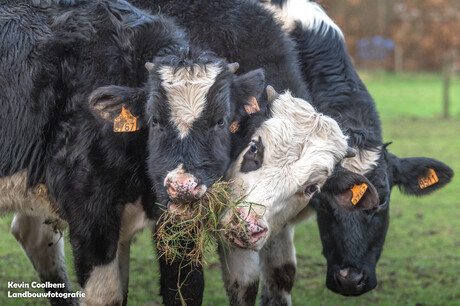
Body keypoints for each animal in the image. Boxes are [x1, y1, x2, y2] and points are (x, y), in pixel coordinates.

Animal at [0, 0, 266, 304]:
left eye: (221, 121)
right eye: (154, 120)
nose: (182, 186)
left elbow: (185, 287)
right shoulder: (92, 215)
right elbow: (107, 294)